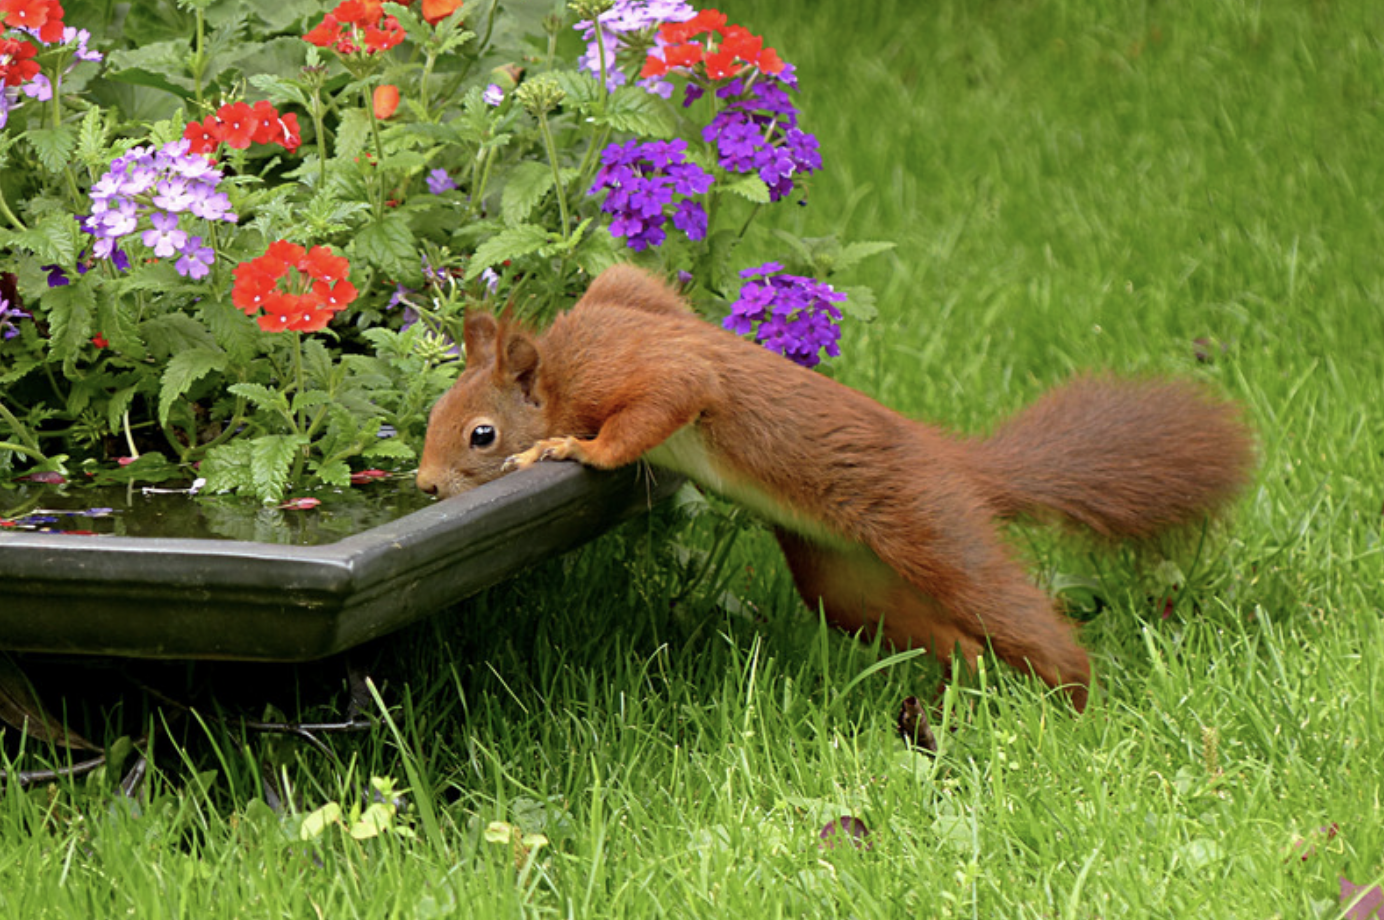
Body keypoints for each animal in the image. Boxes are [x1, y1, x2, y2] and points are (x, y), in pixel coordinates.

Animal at [412, 261, 1256, 705]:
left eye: (481, 435)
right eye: (433, 412)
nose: (422, 486)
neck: (560, 369)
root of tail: (957, 465)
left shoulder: (638, 371)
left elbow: (666, 397)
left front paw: (569, 449)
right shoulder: (630, 293)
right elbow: (642, 283)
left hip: (932, 529)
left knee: (1013, 616)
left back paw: (1073, 705)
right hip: (849, 586)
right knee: (946, 637)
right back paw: (974, 696)